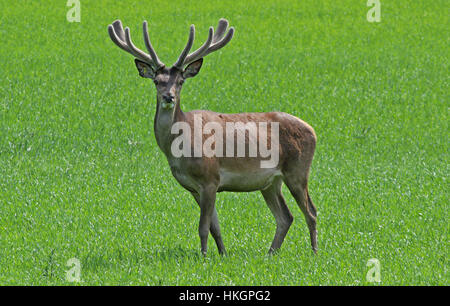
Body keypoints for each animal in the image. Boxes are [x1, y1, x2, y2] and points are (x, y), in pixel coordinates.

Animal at [107, 17, 318, 255]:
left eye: (181, 81)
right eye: (156, 81)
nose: (168, 97)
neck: (180, 149)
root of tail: (313, 130)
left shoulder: (210, 178)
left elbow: (203, 226)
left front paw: (204, 256)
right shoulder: (194, 187)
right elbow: (214, 226)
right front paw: (222, 254)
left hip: (298, 170)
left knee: (311, 212)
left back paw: (314, 252)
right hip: (270, 182)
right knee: (285, 217)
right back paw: (270, 254)